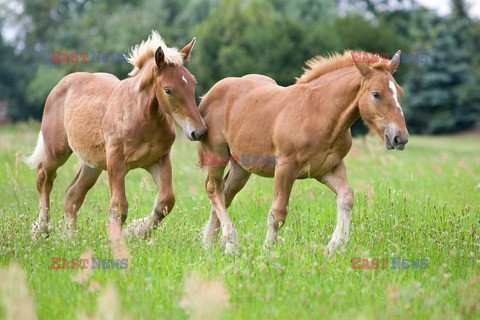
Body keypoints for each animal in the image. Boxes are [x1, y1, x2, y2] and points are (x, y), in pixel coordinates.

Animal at [25, 31, 206, 240]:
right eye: (168, 90)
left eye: (193, 83)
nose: (199, 131)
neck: (142, 117)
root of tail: (60, 85)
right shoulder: (116, 163)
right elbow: (119, 208)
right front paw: (120, 240)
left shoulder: (159, 160)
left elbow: (166, 201)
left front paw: (136, 231)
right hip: (57, 151)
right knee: (44, 177)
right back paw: (41, 230)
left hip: (92, 164)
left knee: (73, 194)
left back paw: (71, 238)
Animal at [198, 50, 408, 255]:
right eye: (376, 94)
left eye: (400, 92)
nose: (400, 138)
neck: (318, 112)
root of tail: (208, 95)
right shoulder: (285, 168)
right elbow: (277, 213)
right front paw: (268, 252)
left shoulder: (328, 168)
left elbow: (346, 198)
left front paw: (334, 247)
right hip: (217, 154)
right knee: (213, 189)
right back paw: (229, 242)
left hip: (241, 167)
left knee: (225, 194)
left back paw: (214, 245)